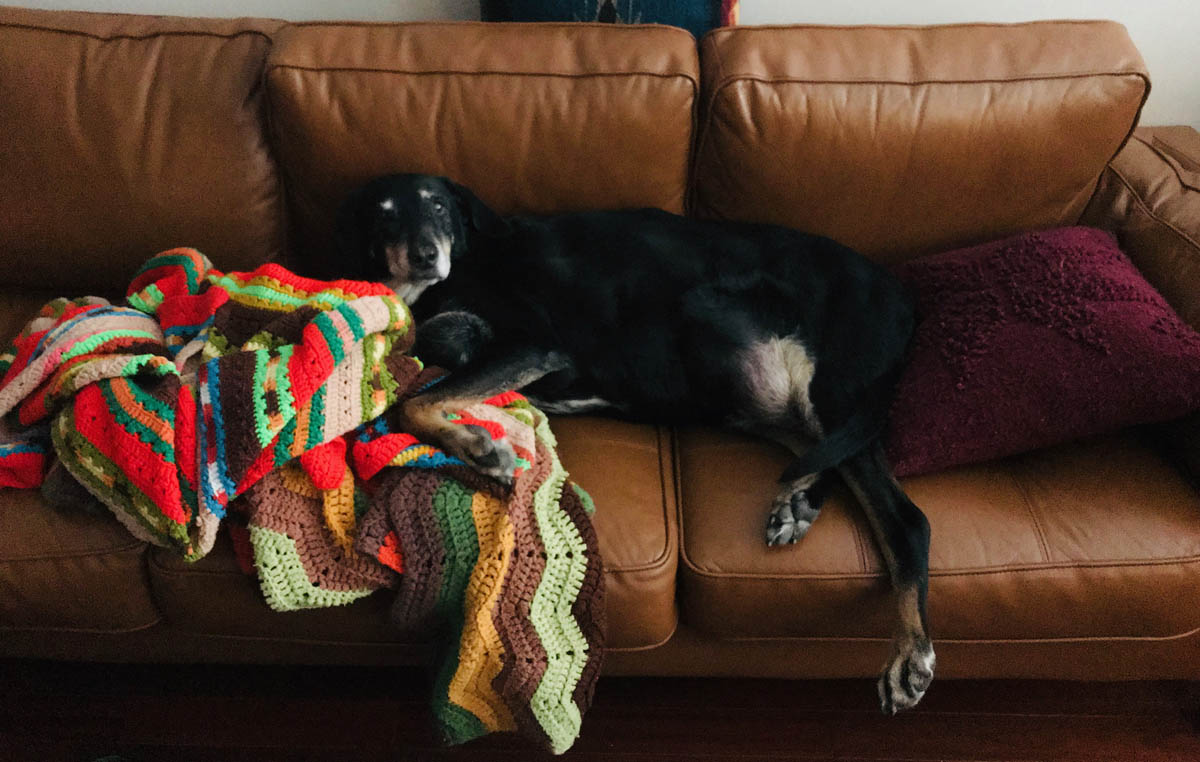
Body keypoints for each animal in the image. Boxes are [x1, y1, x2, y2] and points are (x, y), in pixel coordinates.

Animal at [333, 172, 931, 715]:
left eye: (436, 204)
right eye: (384, 214)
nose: (425, 256)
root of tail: (904, 298)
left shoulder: (532, 343)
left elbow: (414, 402)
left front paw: (480, 447)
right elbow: (435, 382)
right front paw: (480, 433)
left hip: (807, 373)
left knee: (904, 517)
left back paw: (910, 654)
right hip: (744, 386)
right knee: (821, 450)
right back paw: (798, 501)